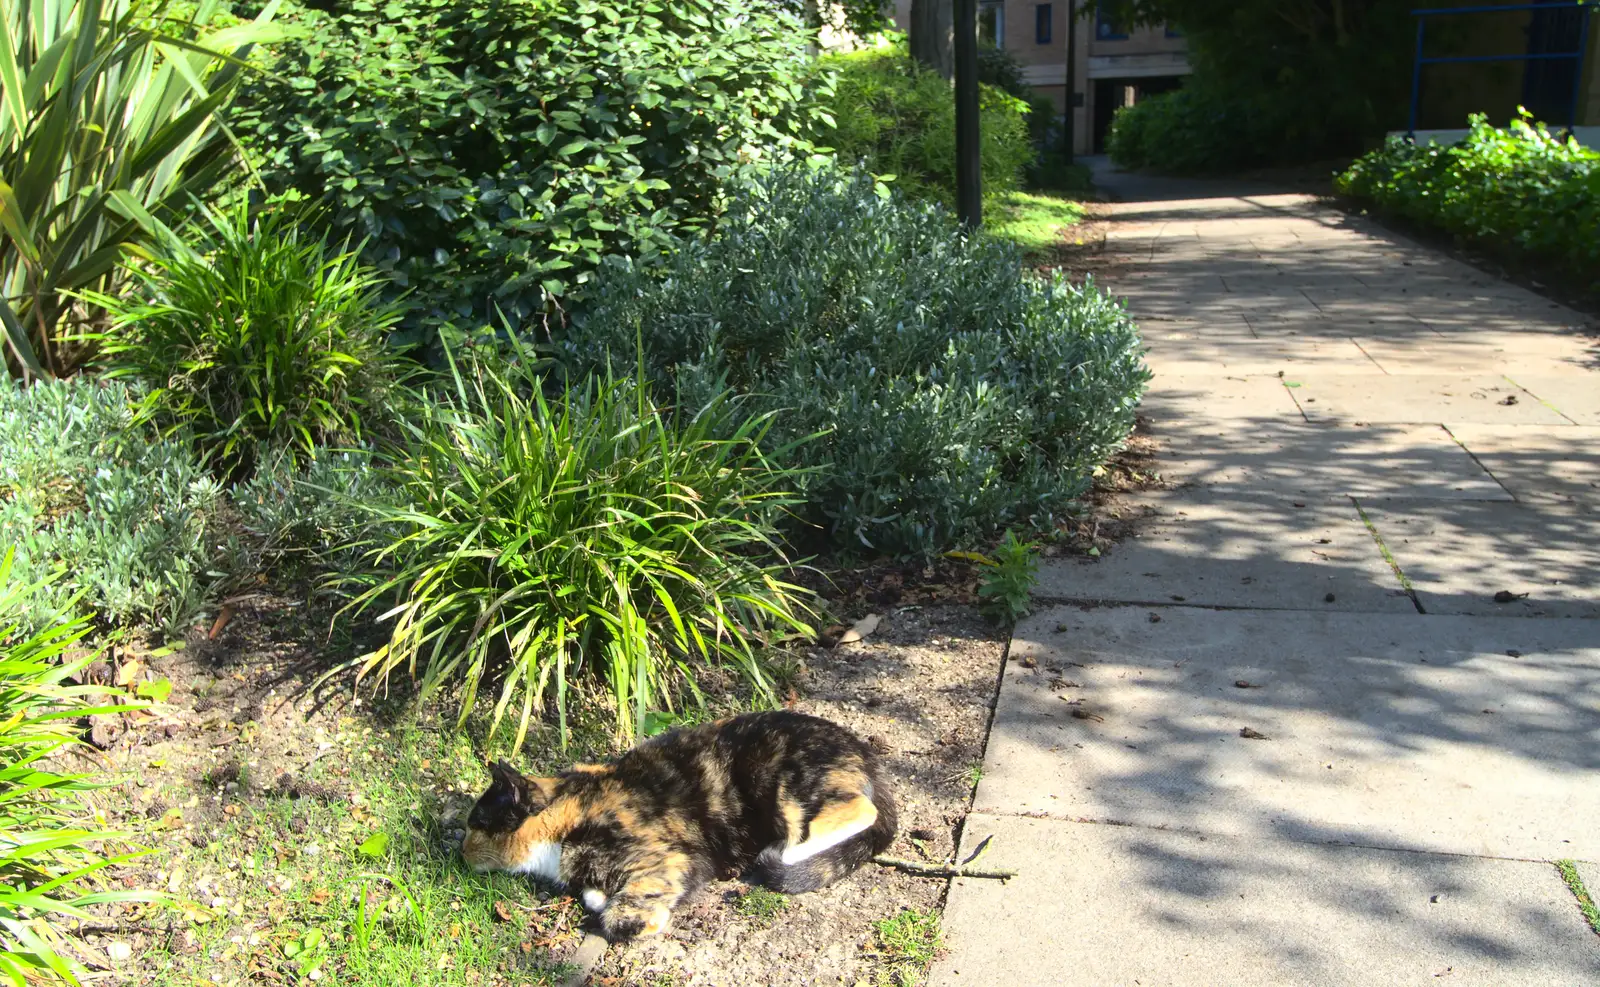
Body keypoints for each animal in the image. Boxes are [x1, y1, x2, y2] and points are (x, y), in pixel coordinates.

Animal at [464, 707, 896, 940]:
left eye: (477, 822)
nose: (460, 849)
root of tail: (868, 755)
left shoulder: (665, 857)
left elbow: (621, 916)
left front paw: (636, 918)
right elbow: (593, 894)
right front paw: (598, 895)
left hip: (785, 782)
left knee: (859, 812)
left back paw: (785, 852)